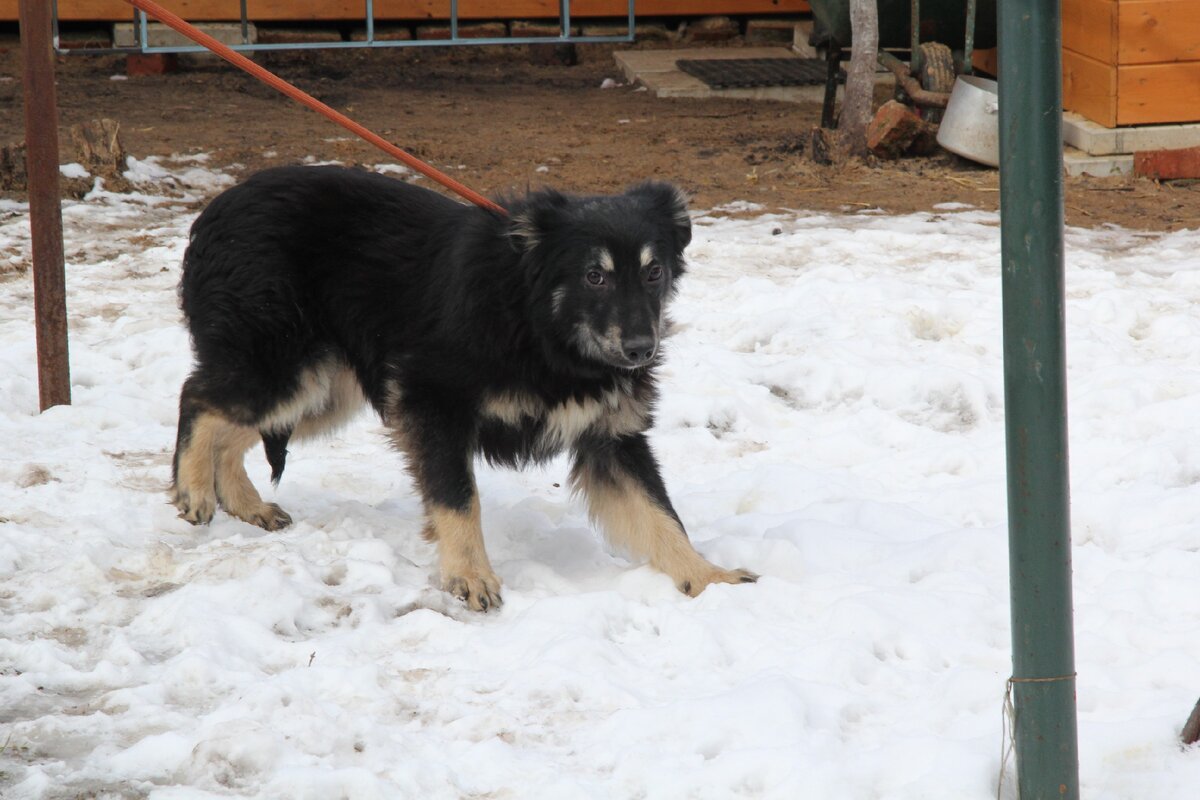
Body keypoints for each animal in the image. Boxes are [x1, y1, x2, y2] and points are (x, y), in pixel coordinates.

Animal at [171, 165, 748, 609]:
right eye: (594, 276)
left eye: (654, 272)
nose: (641, 350)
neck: (537, 322)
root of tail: (215, 210)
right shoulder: (432, 403)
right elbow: (458, 499)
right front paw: (469, 575)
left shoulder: (612, 438)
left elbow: (660, 516)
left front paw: (707, 577)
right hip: (285, 369)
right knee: (197, 397)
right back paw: (193, 489)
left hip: (322, 390)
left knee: (230, 428)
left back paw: (246, 505)